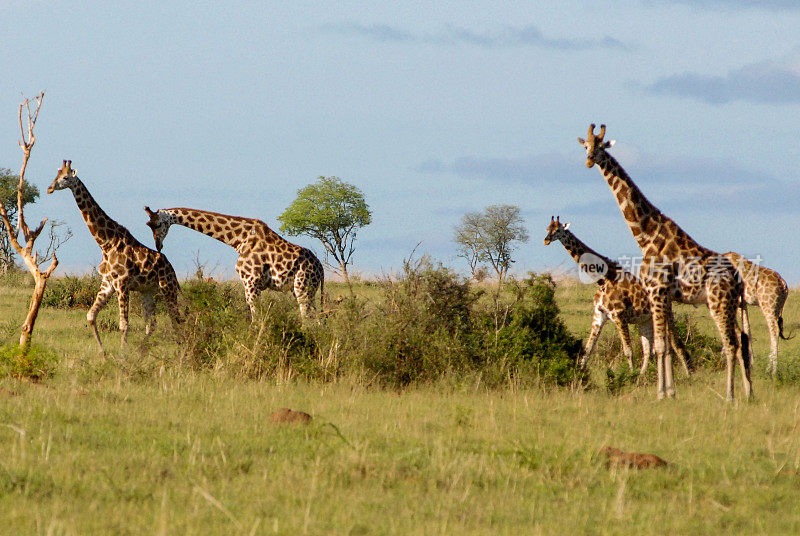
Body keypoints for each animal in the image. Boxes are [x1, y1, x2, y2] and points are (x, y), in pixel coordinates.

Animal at [47, 159, 181, 352]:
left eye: (65, 177)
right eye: (56, 175)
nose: (49, 188)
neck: (105, 242)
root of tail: (172, 269)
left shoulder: (122, 283)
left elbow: (124, 325)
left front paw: (122, 354)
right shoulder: (107, 283)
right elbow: (90, 316)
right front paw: (102, 353)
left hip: (167, 288)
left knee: (177, 321)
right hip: (147, 290)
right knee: (152, 324)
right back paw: (141, 352)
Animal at [144, 206, 322, 318]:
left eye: (158, 224)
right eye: (149, 225)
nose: (158, 245)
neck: (238, 240)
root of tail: (320, 270)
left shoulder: (251, 281)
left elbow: (256, 318)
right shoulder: (251, 284)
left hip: (303, 287)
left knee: (307, 318)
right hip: (304, 289)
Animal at [544, 216, 692, 374]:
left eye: (558, 230)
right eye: (547, 228)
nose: (546, 240)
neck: (603, 279)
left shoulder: (619, 315)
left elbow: (628, 351)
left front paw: (630, 374)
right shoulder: (599, 315)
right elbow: (587, 350)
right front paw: (579, 374)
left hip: (665, 315)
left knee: (677, 345)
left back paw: (688, 374)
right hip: (644, 320)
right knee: (649, 349)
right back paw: (642, 375)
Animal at [576, 125, 752, 400]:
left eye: (601, 146)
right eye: (586, 146)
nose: (589, 160)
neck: (645, 235)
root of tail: (737, 278)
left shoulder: (657, 292)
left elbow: (659, 345)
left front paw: (660, 394)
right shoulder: (663, 297)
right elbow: (667, 346)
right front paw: (670, 392)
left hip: (718, 302)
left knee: (730, 343)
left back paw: (729, 396)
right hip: (731, 304)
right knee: (741, 340)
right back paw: (748, 392)